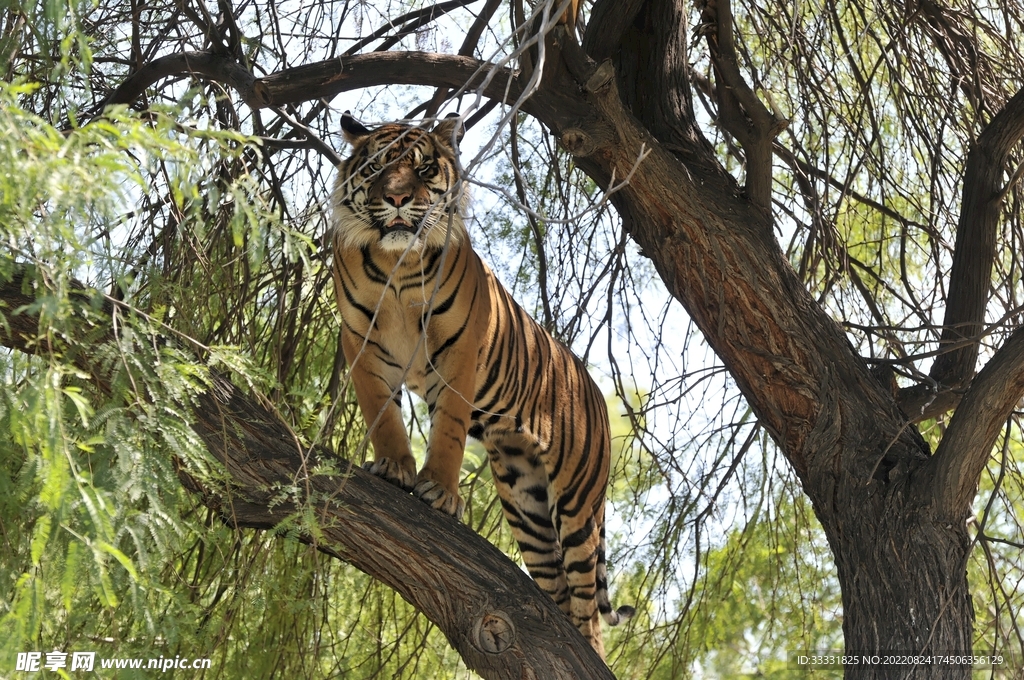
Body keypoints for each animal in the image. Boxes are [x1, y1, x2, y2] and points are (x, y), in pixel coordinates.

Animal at [329, 112, 633, 658]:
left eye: (425, 168)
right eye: (380, 166)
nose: (400, 198)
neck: (397, 264)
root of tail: (597, 392)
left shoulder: (460, 349)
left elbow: (448, 429)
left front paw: (440, 491)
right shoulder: (361, 343)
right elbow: (383, 416)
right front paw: (394, 468)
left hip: (578, 503)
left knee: (587, 607)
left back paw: (588, 654)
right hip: (526, 501)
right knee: (557, 588)